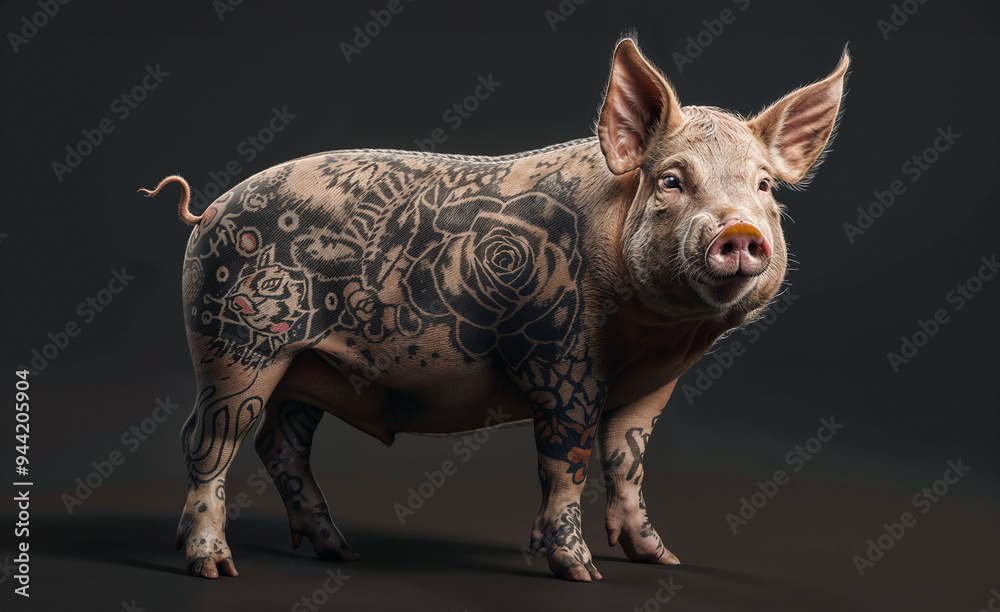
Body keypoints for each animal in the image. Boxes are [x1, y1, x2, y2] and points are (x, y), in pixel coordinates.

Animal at [140, 36, 848, 581]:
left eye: (764, 185)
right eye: (672, 179)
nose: (740, 231)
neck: (655, 338)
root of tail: (208, 209)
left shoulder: (649, 389)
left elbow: (628, 461)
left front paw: (661, 560)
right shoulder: (560, 359)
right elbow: (567, 461)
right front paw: (581, 573)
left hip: (307, 366)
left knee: (278, 443)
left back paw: (341, 552)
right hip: (237, 341)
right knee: (210, 441)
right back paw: (214, 567)